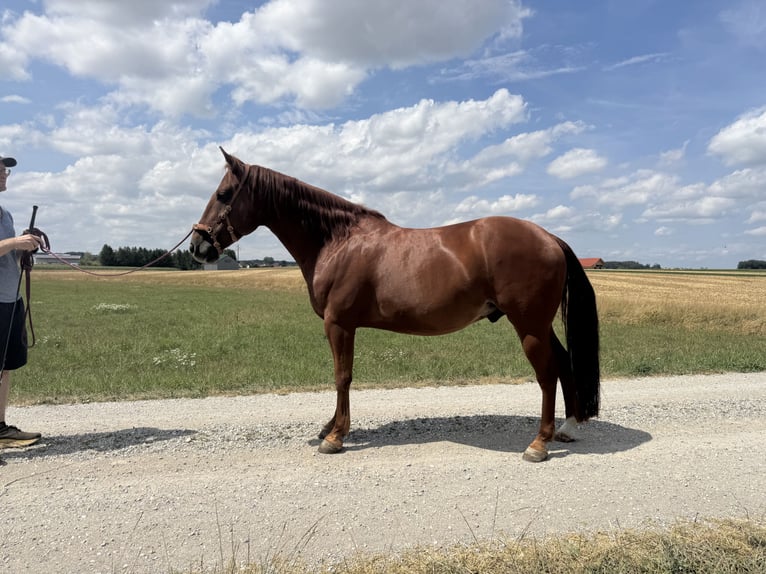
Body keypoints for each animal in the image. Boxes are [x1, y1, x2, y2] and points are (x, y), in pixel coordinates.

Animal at [190, 148, 600, 462]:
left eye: (224, 194)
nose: (197, 246)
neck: (337, 241)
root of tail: (548, 237)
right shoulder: (340, 326)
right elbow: (340, 377)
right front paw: (329, 427)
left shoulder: (339, 324)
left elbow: (342, 376)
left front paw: (335, 437)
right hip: (539, 325)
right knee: (564, 364)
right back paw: (566, 428)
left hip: (528, 325)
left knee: (546, 374)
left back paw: (539, 444)